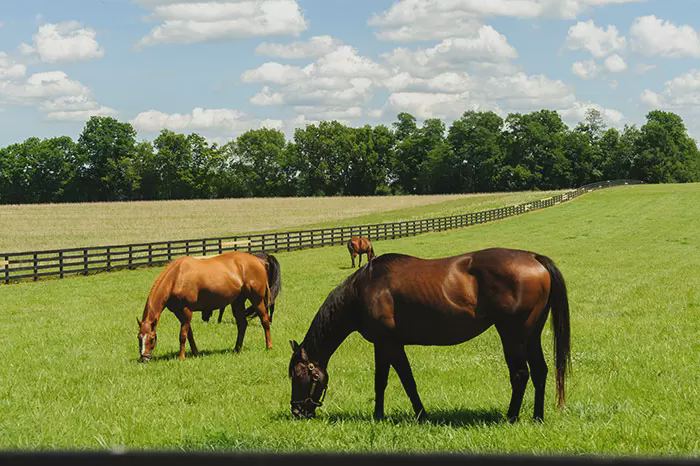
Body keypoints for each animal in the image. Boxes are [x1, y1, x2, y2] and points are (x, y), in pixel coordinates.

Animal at [137, 251, 281, 362]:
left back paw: (269, 346)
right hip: (238, 302)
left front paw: (181, 357)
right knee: (242, 324)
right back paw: (237, 349)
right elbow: (189, 334)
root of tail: (259, 261)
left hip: (257, 300)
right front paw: (195, 352)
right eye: (139, 338)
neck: (176, 277)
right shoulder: (179, 312)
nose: (144, 358)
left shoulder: (186, 310)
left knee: (265, 321)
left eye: (152, 339)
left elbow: (183, 335)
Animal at [288, 248, 570, 423]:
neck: (364, 289)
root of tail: (534, 258)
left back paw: (511, 417)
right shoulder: (386, 345)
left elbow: (402, 381)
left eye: (301, 376)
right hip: (531, 335)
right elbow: (388, 381)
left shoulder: (390, 344)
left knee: (520, 374)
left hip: (512, 335)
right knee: (540, 371)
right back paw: (537, 417)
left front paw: (413, 415)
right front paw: (385, 415)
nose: (297, 411)